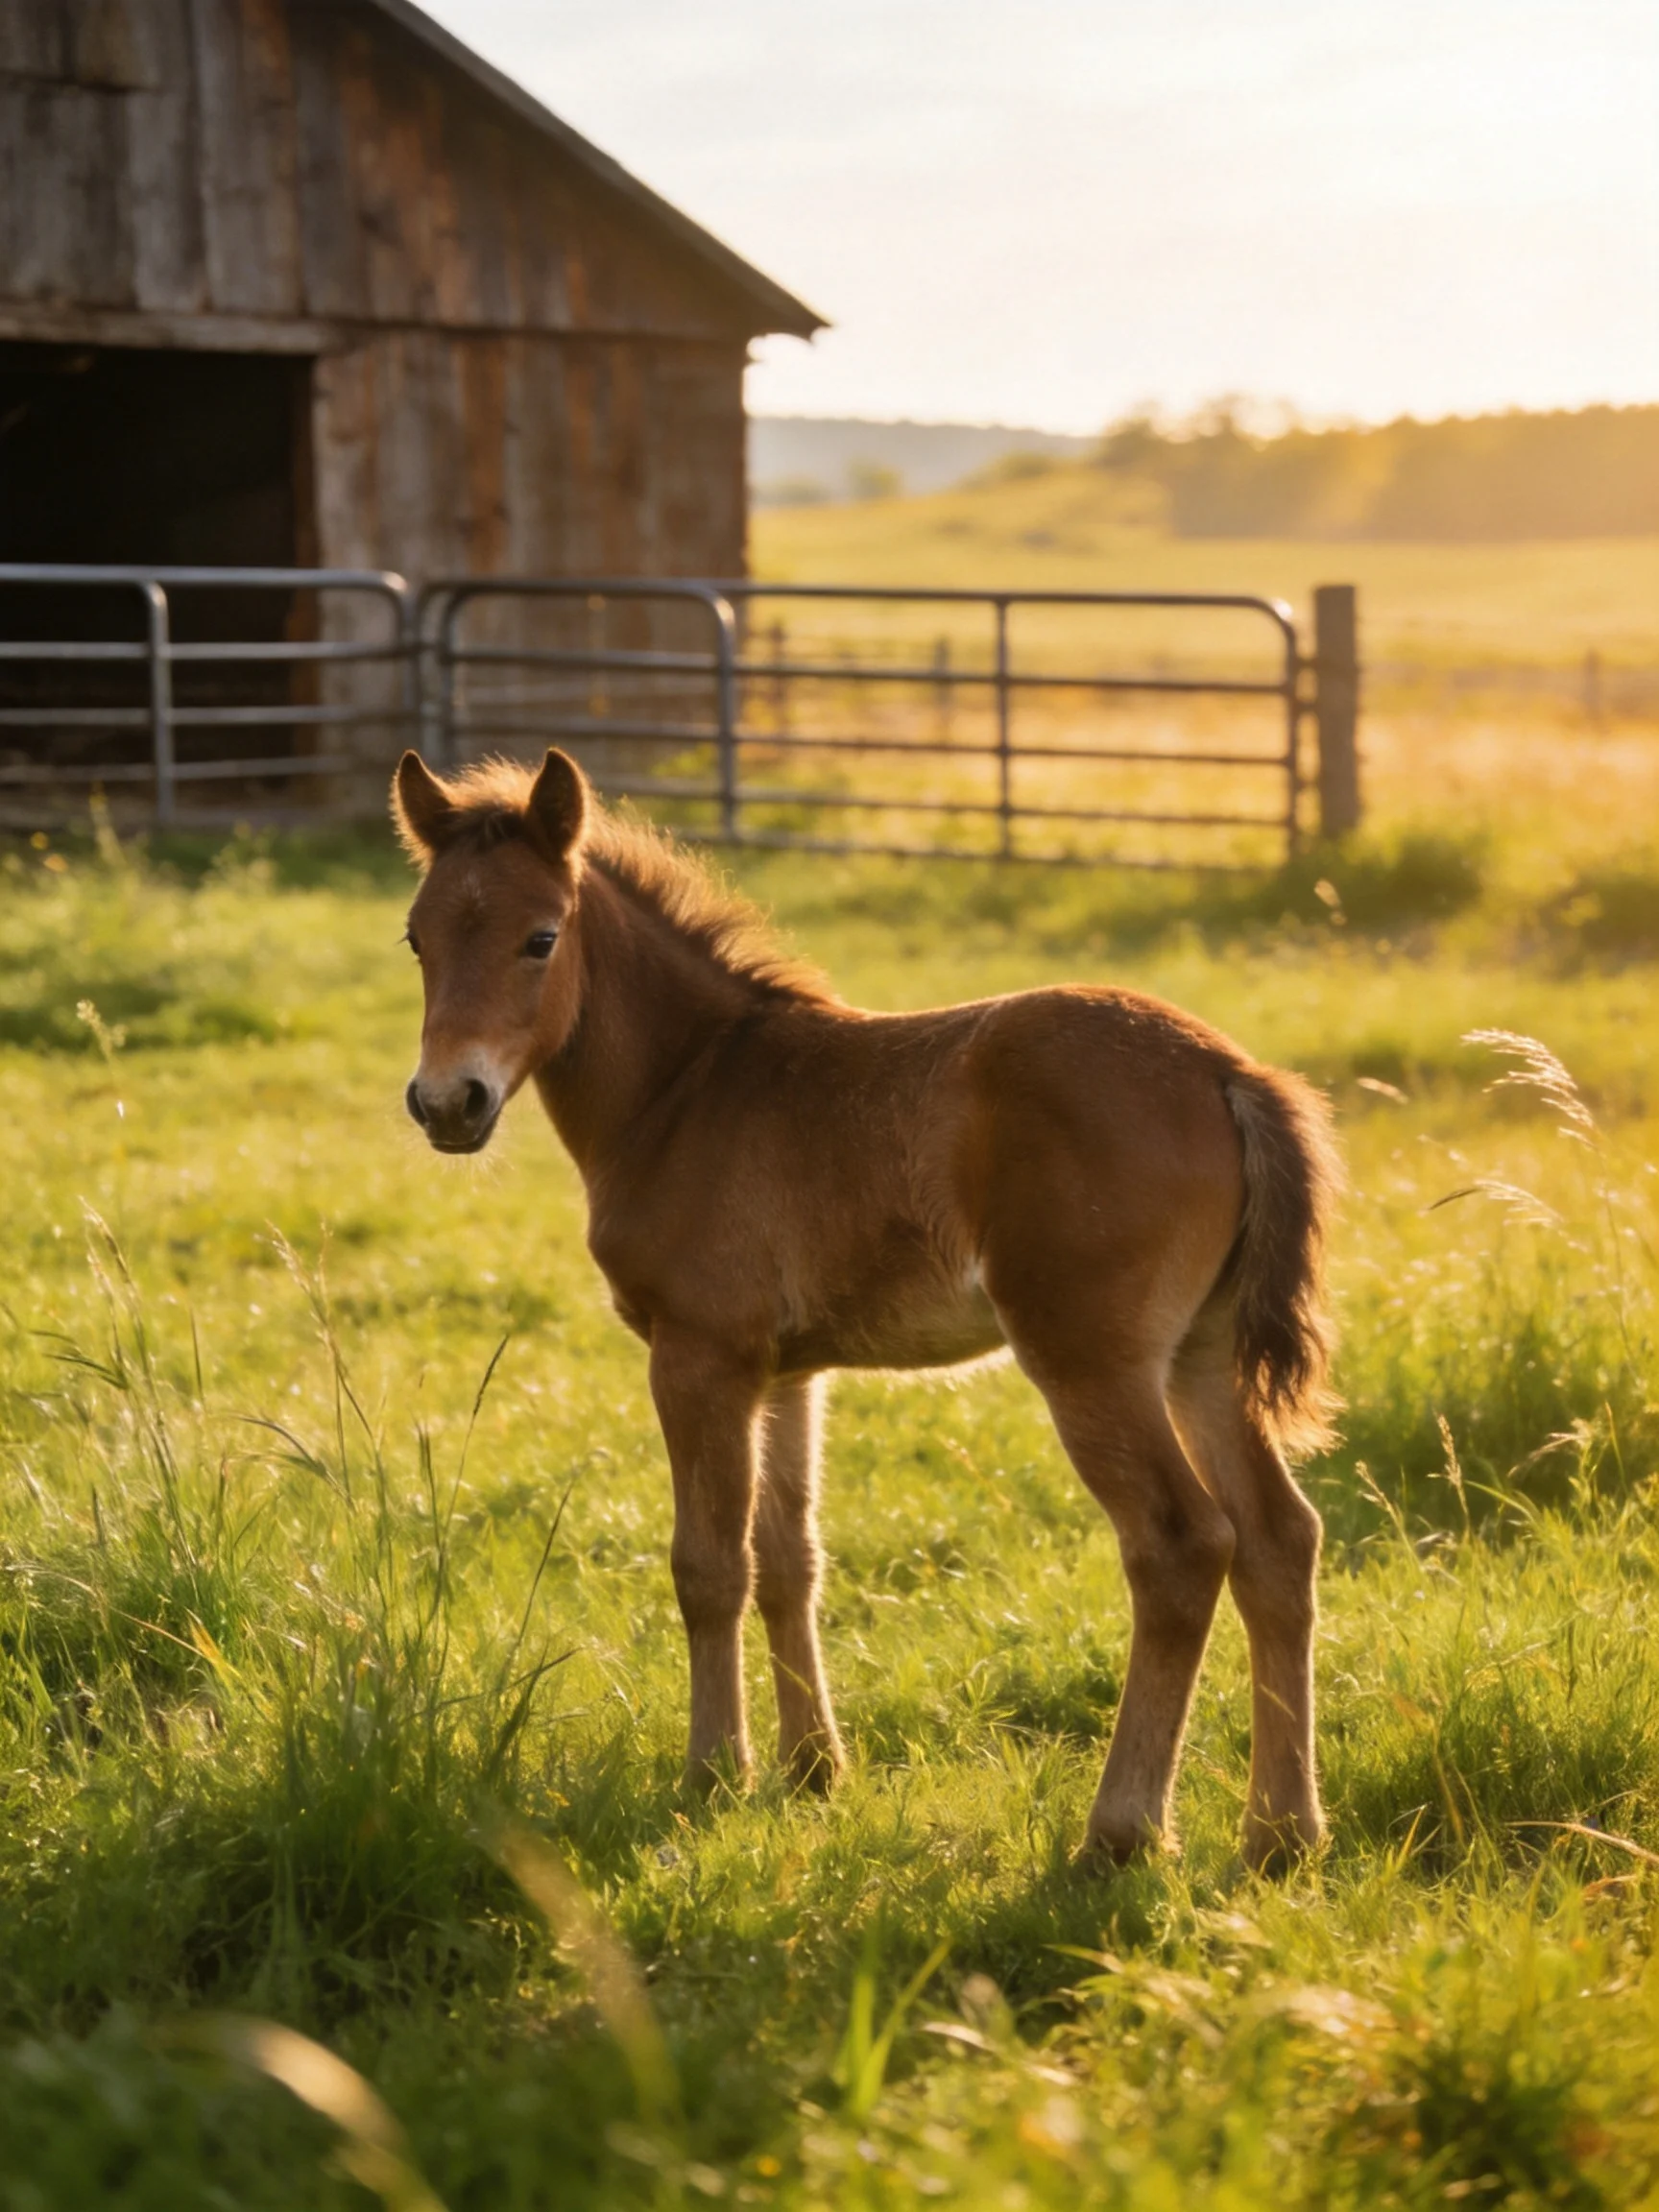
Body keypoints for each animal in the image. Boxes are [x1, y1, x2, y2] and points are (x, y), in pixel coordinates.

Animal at [392, 746, 1340, 1868]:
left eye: (540, 938)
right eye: (416, 936)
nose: (447, 1103)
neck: (687, 1090)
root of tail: (1228, 1072)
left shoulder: (697, 1356)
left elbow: (707, 1566)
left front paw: (713, 1775)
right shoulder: (787, 1373)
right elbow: (787, 1558)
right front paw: (812, 1769)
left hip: (1091, 1362)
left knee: (1182, 1545)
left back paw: (1121, 1834)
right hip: (1201, 1357)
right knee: (1279, 1541)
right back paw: (1281, 1835)